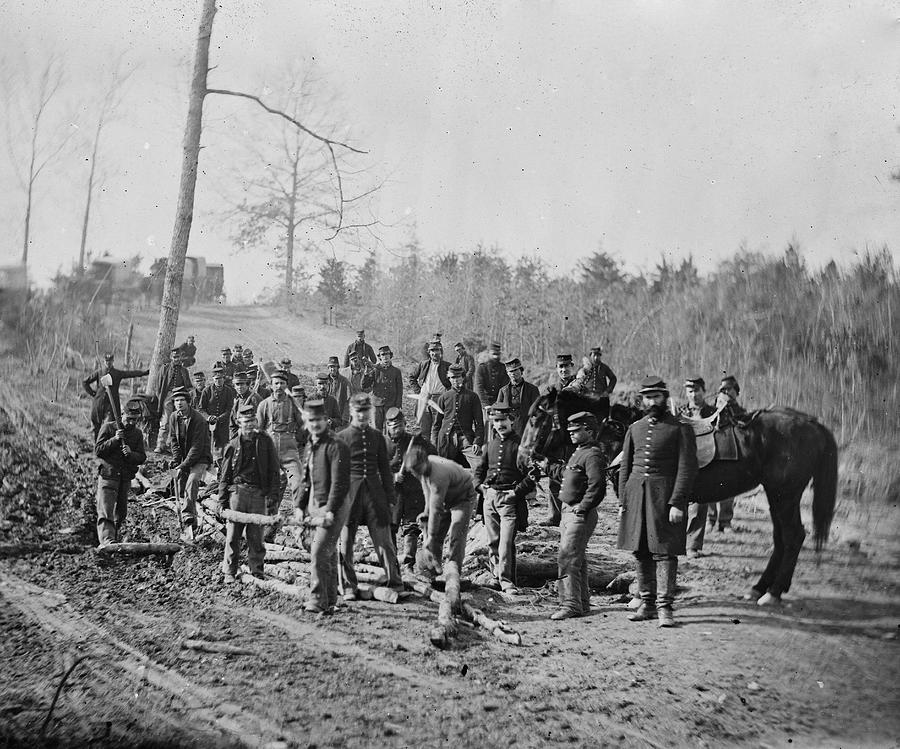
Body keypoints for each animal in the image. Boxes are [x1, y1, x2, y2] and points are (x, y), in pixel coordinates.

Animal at [516, 388, 840, 604]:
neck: (622, 432)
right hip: (777, 495)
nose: (522, 460)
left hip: (785, 494)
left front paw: (644, 596)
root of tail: (813, 424)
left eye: (535, 419)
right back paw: (760, 588)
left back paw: (772, 593)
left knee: (793, 536)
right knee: (782, 538)